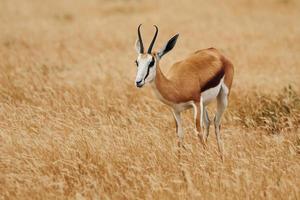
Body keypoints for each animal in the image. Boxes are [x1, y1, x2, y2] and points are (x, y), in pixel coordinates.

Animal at [134, 24, 234, 157]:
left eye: (151, 62)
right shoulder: (176, 110)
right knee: (208, 122)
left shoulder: (196, 103)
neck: (176, 86)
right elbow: (180, 134)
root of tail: (217, 52)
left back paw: (221, 156)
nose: (138, 81)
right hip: (204, 104)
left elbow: (198, 131)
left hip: (222, 97)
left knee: (216, 123)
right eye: (137, 62)